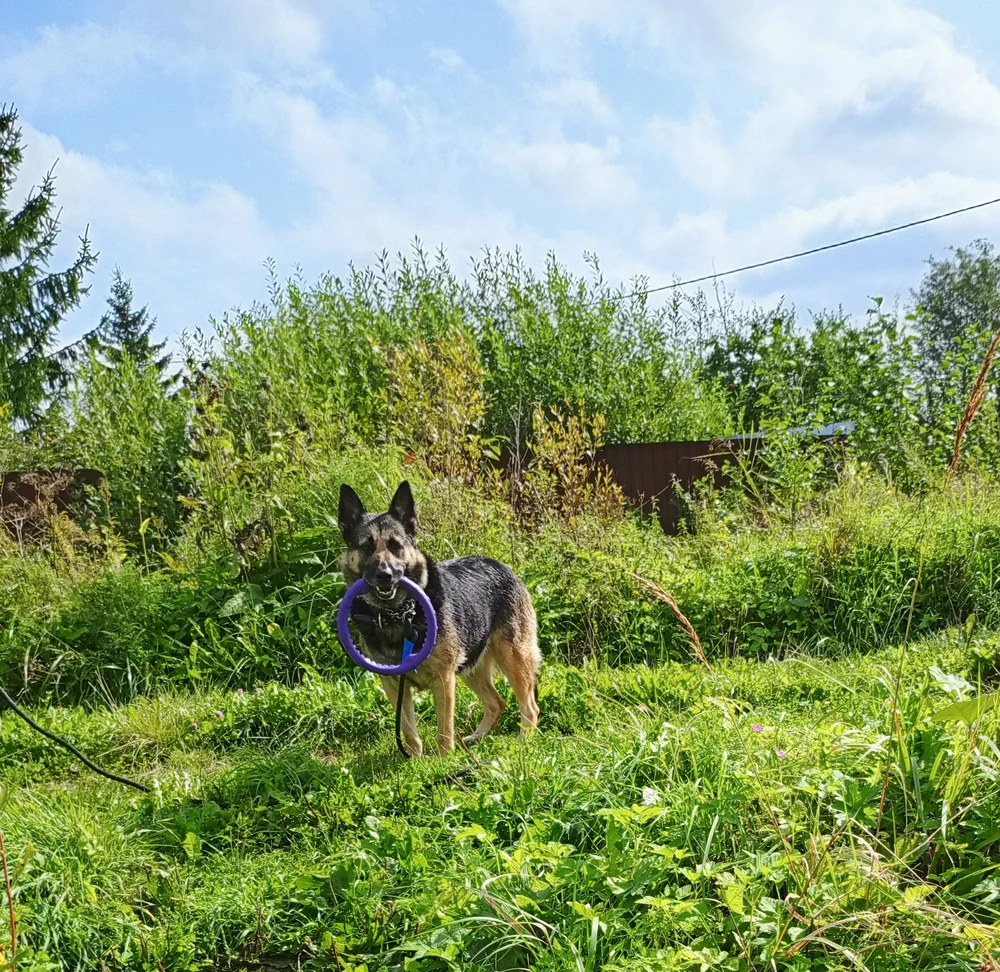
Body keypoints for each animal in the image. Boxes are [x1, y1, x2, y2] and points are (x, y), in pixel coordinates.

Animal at [336, 482, 540, 756]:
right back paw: (476, 738)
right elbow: (408, 730)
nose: (385, 575)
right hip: (470, 668)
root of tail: (502, 566)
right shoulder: (394, 685)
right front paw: (415, 760)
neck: (397, 614)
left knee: (529, 706)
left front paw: (445, 761)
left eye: (396, 546)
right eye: (366, 547)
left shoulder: (443, 680)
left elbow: (444, 730)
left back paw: (522, 744)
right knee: (496, 703)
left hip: (513, 659)